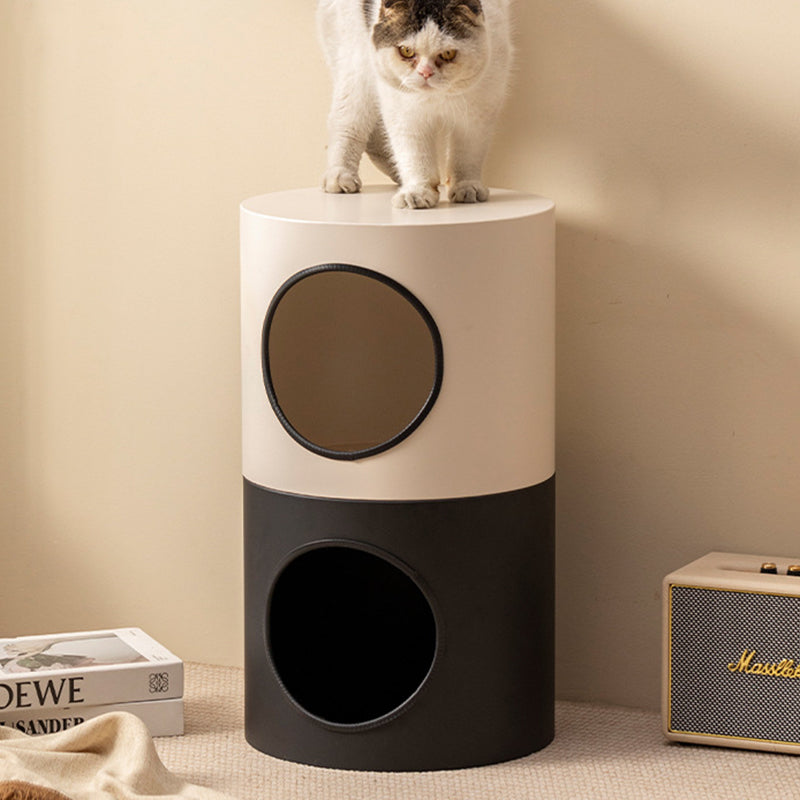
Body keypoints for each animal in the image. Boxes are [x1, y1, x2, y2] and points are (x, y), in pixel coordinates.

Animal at [317, 0, 512, 209]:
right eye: (406, 51)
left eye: (448, 54)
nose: (425, 72)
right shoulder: (405, 112)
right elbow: (415, 154)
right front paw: (417, 192)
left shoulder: (479, 111)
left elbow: (467, 156)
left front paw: (467, 188)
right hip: (356, 66)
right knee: (346, 123)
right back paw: (340, 176)